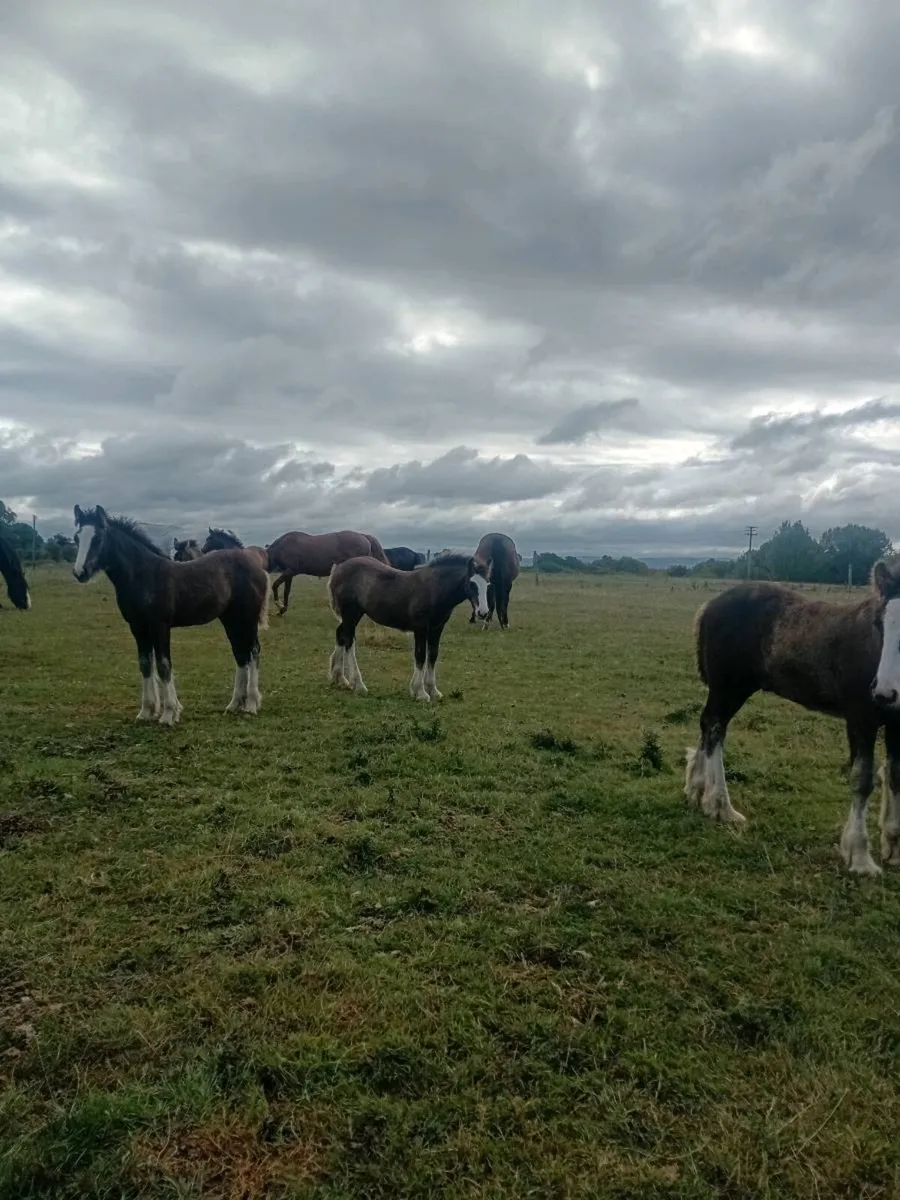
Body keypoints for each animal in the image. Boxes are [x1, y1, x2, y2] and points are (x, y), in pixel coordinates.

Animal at [72, 505, 269, 726]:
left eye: (98, 538)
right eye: (77, 537)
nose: (80, 572)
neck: (143, 576)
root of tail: (255, 564)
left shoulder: (160, 625)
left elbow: (164, 665)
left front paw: (168, 714)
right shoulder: (137, 626)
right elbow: (145, 664)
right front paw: (146, 711)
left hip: (248, 617)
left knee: (253, 651)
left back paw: (251, 704)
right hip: (230, 619)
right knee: (240, 653)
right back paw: (235, 704)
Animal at [327, 553, 490, 700]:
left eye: (488, 585)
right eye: (472, 584)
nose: (483, 613)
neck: (434, 589)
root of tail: (339, 568)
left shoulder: (437, 628)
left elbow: (433, 655)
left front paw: (433, 690)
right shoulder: (420, 628)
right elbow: (420, 655)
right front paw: (420, 692)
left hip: (354, 615)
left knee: (340, 634)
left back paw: (339, 678)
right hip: (351, 613)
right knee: (349, 641)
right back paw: (358, 684)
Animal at [684, 559, 900, 876]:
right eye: (880, 623)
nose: (884, 692)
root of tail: (711, 605)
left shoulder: (897, 724)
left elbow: (895, 775)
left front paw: (893, 848)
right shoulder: (861, 719)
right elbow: (862, 779)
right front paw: (860, 858)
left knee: (708, 725)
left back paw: (698, 789)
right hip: (730, 688)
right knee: (714, 728)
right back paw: (720, 805)